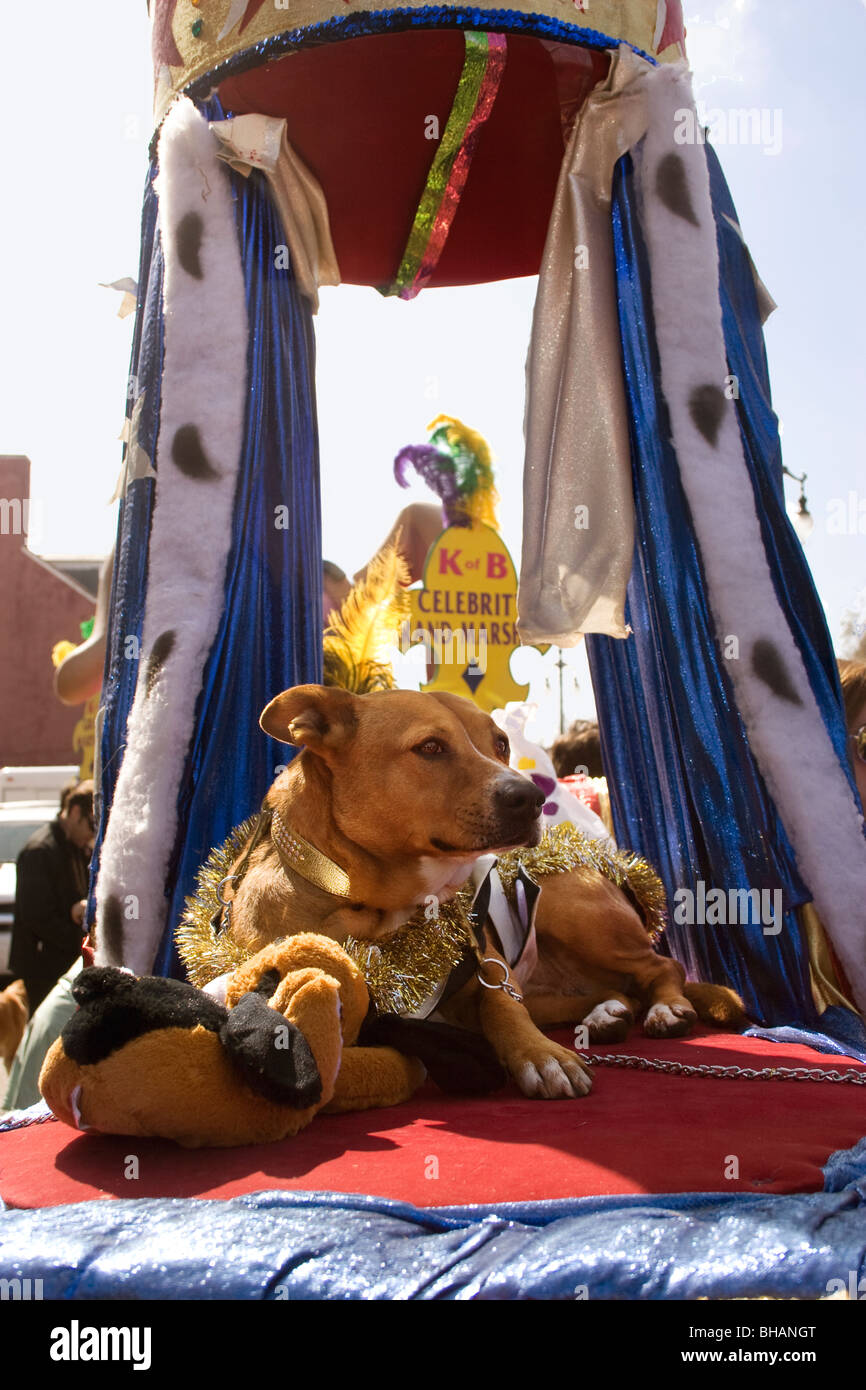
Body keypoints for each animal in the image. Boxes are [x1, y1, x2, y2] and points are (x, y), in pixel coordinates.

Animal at [226, 683, 750, 1095]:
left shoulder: (488, 961)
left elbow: (503, 1004)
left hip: (571, 909)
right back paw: (606, 1014)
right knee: (609, 992)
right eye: (430, 747)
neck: (372, 904)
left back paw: (667, 1008)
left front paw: (541, 1055)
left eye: (500, 743)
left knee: (663, 967)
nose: (533, 798)